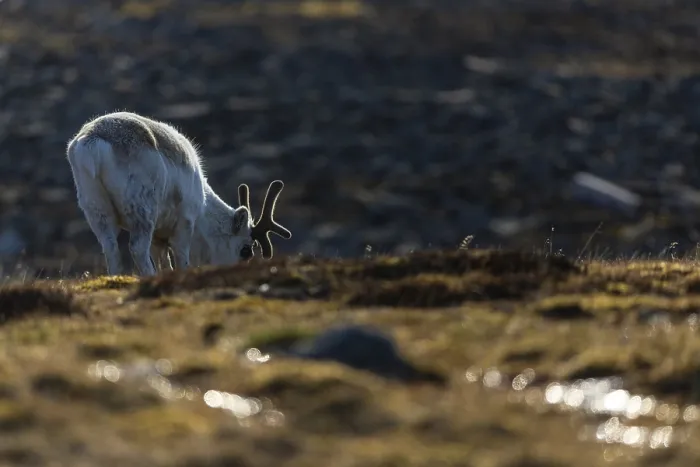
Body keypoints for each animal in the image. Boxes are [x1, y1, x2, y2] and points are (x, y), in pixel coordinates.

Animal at [66, 111, 292, 277]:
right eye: (246, 250)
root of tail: (93, 141)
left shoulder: (159, 236)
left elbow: (163, 261)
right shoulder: (185, 223)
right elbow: (181, 258)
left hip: (96, 210)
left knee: (111, 248)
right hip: (141, 210)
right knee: (137, 248)